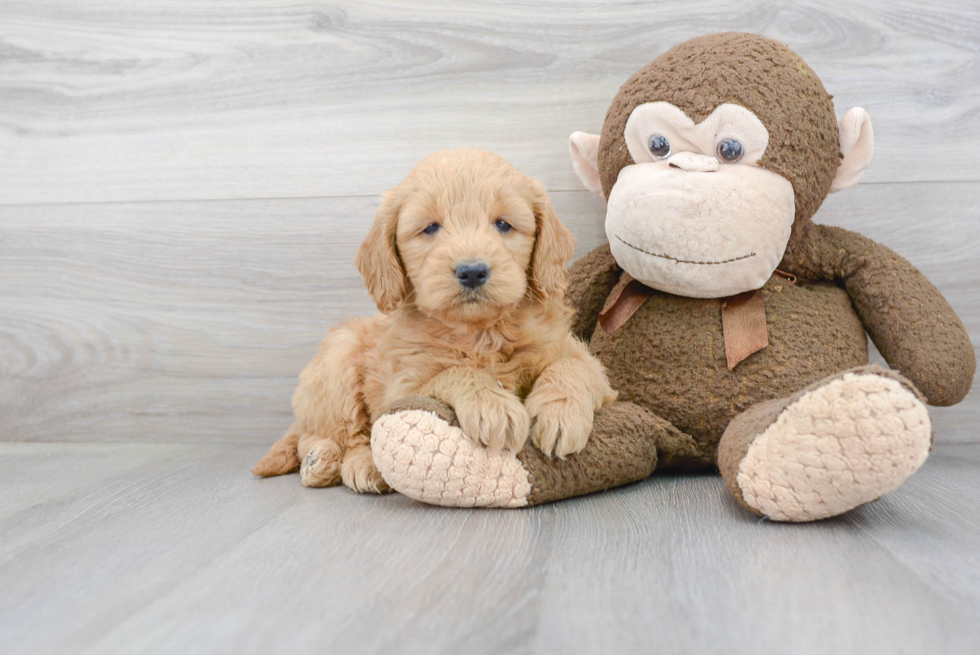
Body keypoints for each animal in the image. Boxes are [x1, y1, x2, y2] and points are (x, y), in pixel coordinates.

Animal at [256, 149, 616, 492]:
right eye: (430, 228)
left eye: (503, 224)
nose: (472, 271)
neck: (481, 333)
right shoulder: (403, 386)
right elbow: (454, 372)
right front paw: (493, 406)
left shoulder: (588, 365)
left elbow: (573, 367)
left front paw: (561, 413)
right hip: (338, 359)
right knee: (330, 434)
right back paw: (340, 462)